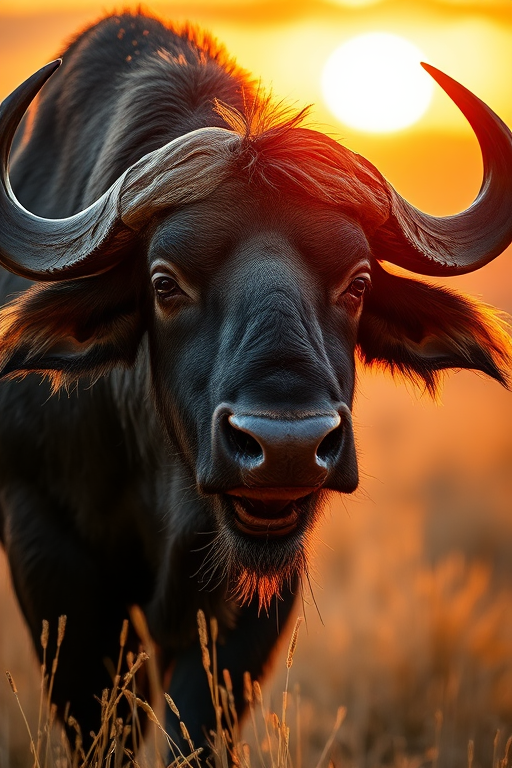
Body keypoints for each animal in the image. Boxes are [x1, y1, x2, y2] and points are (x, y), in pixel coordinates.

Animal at [0, 10, 511, 754]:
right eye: (164, 283)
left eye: (358, 283)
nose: (287, 447)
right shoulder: (48, 552)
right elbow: (104, 724)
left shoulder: (254, 600)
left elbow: (196, 726)